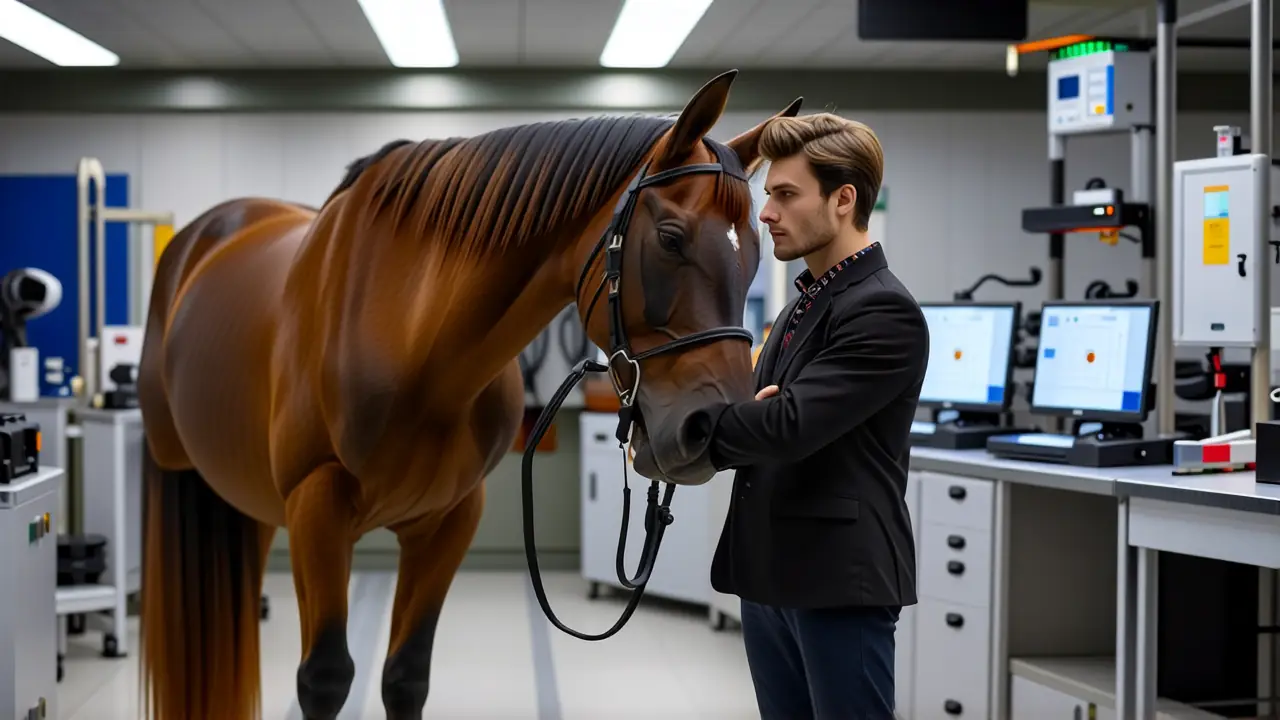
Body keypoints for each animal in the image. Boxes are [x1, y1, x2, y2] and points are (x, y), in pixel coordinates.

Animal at [135, 68, 802, 720]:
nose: (710, 426)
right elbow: (324, 679)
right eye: (669, 238)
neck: (412, 341)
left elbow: (405, 677)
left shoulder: (452, 519)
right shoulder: (315, 506)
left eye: (758, 251)